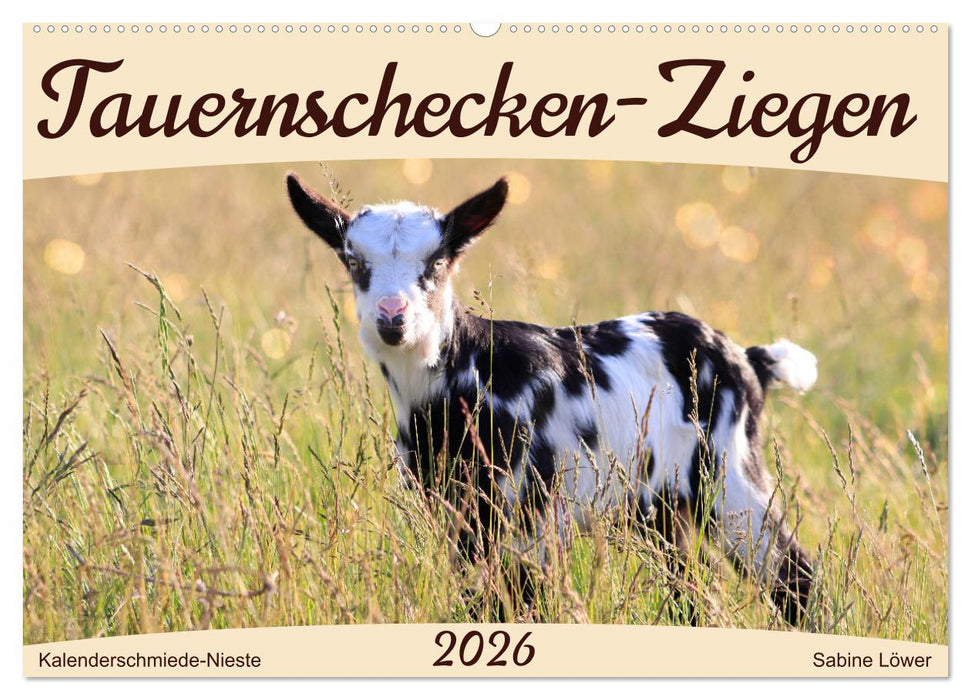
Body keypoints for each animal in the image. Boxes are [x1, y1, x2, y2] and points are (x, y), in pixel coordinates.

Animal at [286, 173, 818, 626]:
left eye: (437, 262)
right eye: (354, 262)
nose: (392, 317)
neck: (467, 378)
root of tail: (746, 359)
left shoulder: (531, 515)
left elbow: (521, 606)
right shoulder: (454, 515)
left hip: (727, 477)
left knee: (792, 572)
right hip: (661, 506)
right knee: (690, 589)